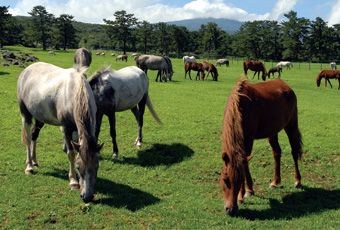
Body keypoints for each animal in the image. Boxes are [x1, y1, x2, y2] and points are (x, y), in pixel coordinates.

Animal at [17, 61, 101, 203]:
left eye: (97, 166)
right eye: (78, 167)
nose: (87, 197)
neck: (75, 91)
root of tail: (26, 70)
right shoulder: (66, 127)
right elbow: (71, 153)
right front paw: (73, 181)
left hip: (40, 117)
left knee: (34, 135)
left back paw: (34, 161)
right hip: (25, 114)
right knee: (28, 139)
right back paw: (29, 167)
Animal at [219, 79, 302, 216]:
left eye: (239, 179)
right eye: (225, 179)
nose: (230, 209)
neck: (241, 107)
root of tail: (286, 86)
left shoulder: (249, 139)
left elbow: (245, 164)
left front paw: (244, 193)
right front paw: (248, 191)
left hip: (291, 125)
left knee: (294, 151)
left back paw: (298, 181)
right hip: (272, 131)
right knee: (276, 152)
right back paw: (275, 182)